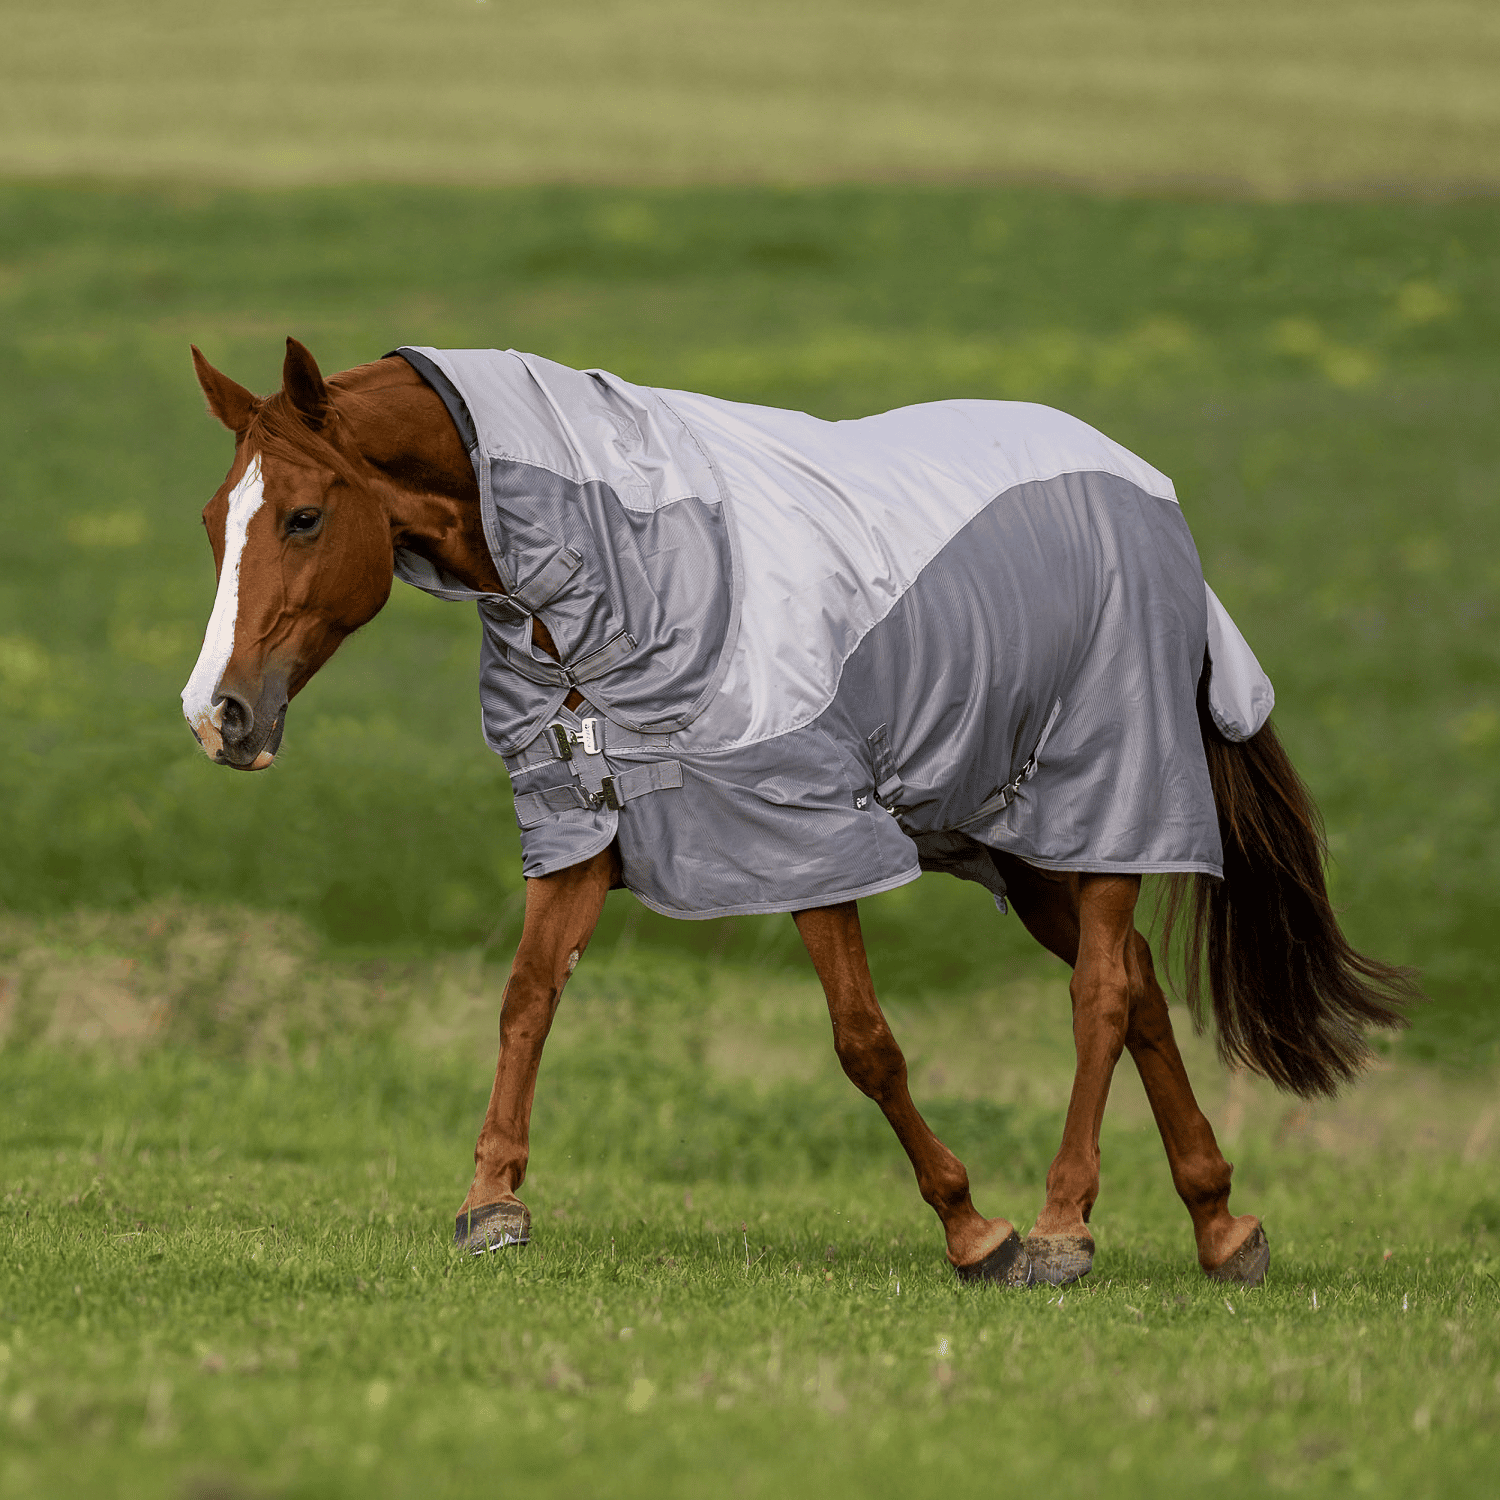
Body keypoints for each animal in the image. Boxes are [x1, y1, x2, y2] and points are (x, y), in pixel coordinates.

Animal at [181, 340, 1410, 1290]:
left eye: (303, 516)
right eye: (210, 523)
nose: (218, 716)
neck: (625, 571)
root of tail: (1146, 490)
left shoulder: (803, 830)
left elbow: (865, 1043)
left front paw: (977, 1231)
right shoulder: (587, 819)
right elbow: (525, 1002)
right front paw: (494, 1202)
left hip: (1108, 792)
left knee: (1103, 994)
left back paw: (1066, 1228)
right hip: (1024, 837)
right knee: (1144, 990)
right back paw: (1221, 1226)